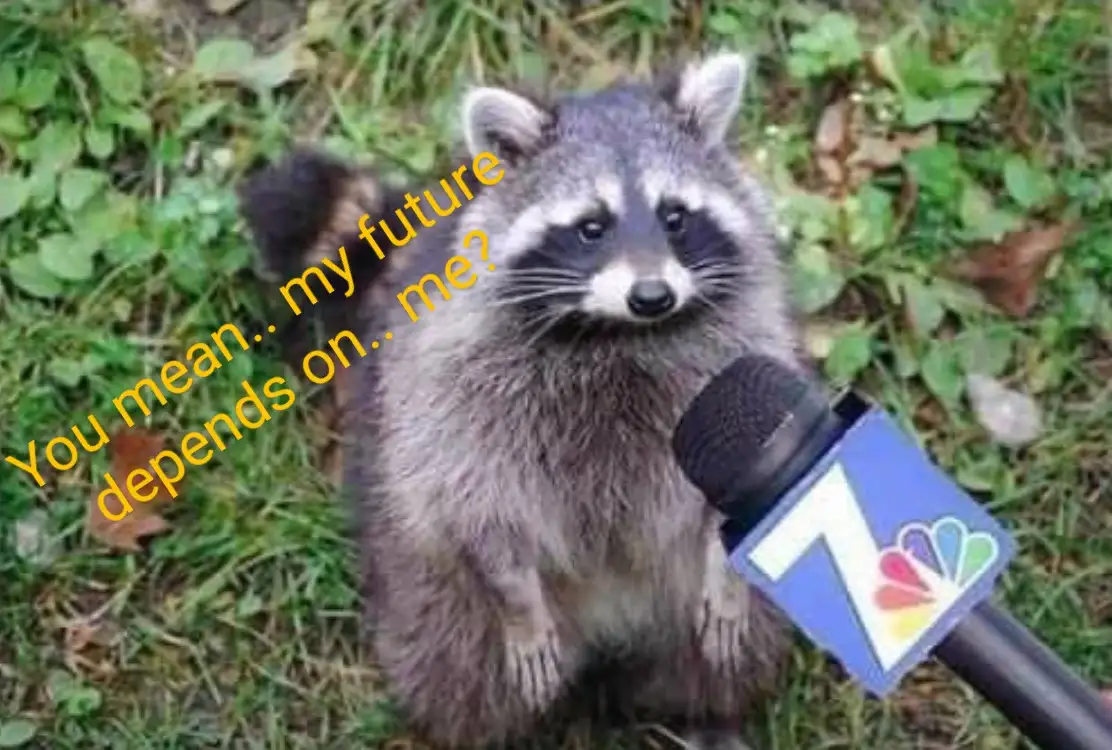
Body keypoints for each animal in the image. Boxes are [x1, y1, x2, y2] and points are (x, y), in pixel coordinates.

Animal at [239, 52, 800, 750]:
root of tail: (609, 628)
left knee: (727, 646)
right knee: (457, 671)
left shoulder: (738, 357)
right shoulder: (458, 387)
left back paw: (708, 711)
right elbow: (478, 501)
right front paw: (517, 598)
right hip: (430, 589)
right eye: (591, 227)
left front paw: (724, 577)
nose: (652, 296)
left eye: (675, 216)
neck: (616, 334)